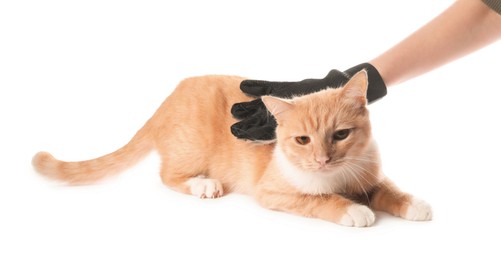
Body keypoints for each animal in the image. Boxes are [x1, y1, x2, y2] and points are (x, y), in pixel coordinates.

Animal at [32, 70, 430, 226]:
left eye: (342, 135)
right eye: (303, 140)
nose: (322, 159)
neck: (339, 176)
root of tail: (168, 99)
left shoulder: (369, 172)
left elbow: (387, 188)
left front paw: (412, 203)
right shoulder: (274, 191)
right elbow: (317, 200)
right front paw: (352, 209)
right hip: (191, 148)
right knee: (167, 174)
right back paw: (202, 184)